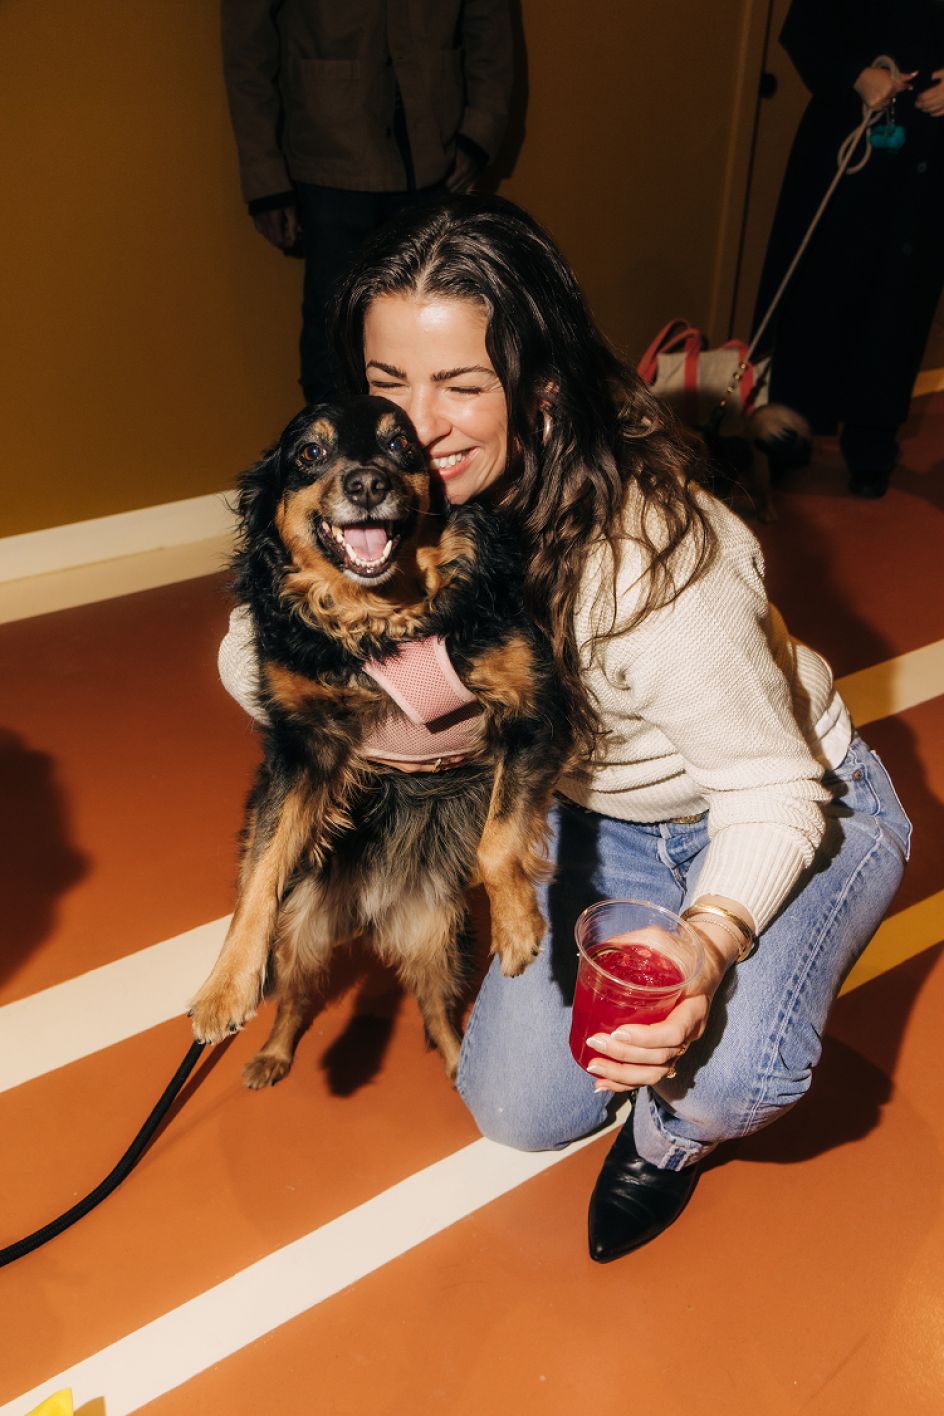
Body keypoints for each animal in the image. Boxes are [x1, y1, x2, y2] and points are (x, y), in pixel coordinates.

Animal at [189, 396, 571, 1086]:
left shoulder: (535, 712)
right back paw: (272, 1054)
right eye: (310, 452)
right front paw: (223, 989)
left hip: (436, 940)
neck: (383, 619)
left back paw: (458, 1064)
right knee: (296, 1001)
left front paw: (517, 923)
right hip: (301, 936)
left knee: (437, 1012)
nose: (367, 484)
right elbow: (258, 874)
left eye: (404, 446)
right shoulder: (301, 751)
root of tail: (367, 915)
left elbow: (498, 841)